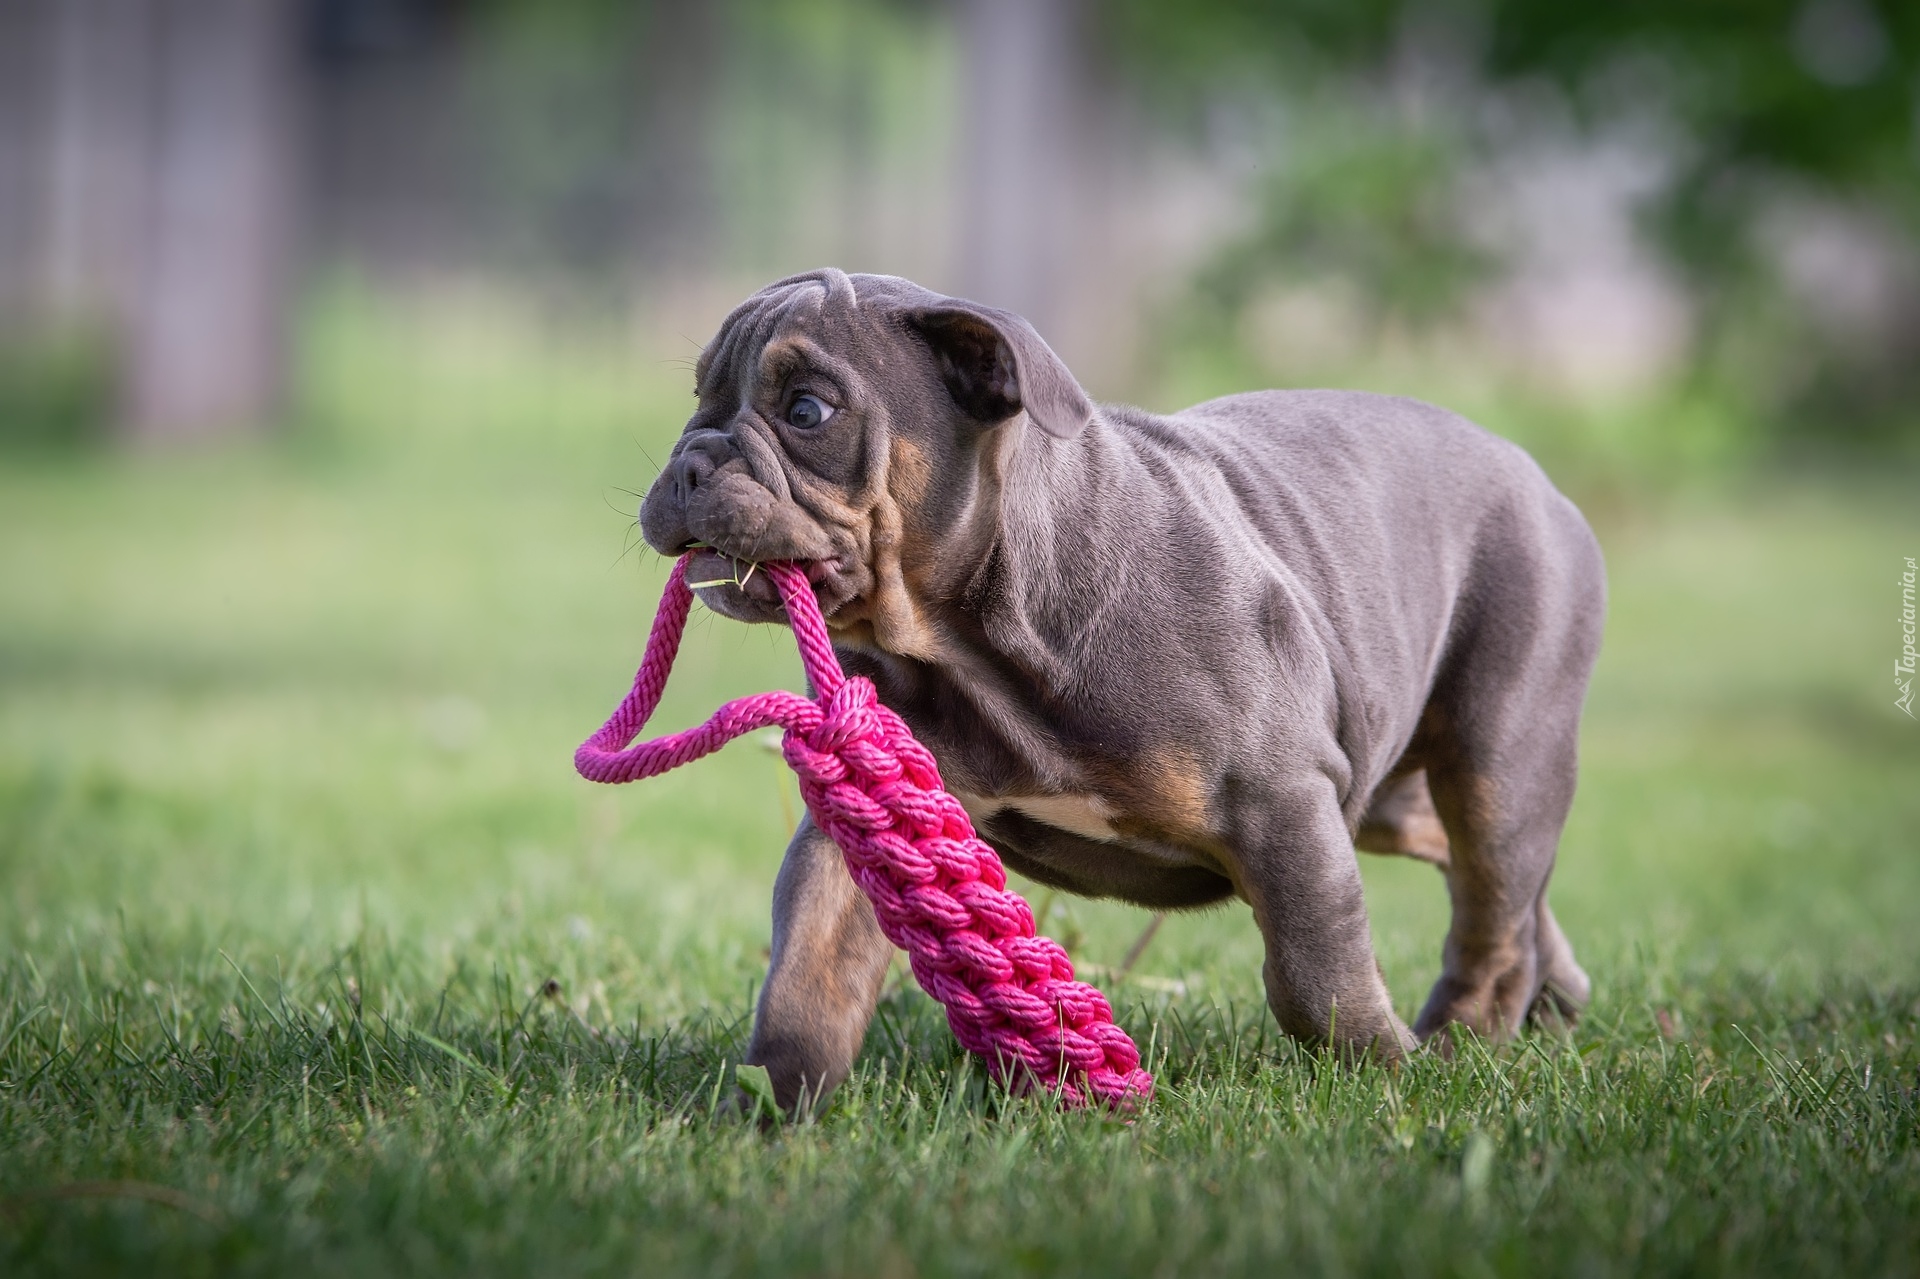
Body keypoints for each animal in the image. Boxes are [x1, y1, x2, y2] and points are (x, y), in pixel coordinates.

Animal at [637, 266, 1597, 1106]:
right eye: (698, 399)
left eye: (808, 410)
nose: (689, 462)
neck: (976, 639)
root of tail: (1543, 483)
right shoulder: (870, 811)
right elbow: (810, 962)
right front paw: (771, 1101)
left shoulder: (1282, 801)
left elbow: (1313, 967)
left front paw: (1378, 1067)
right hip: (1390, 788)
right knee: (1503, 882)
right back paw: (1550, 1003)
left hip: (1496, 760)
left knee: (1492, 906)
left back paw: (1461, 1041)